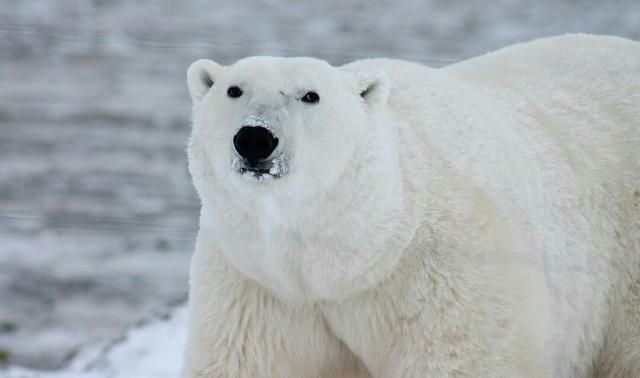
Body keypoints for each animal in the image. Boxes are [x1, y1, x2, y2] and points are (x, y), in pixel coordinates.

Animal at [181, 35, 640, 378]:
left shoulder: (443, 275)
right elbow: (248, 362)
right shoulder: (258, 285)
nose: (255, 138)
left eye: (310, 95)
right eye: (233, 89)